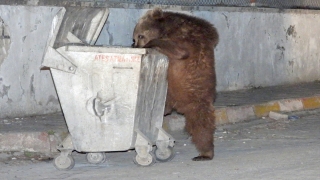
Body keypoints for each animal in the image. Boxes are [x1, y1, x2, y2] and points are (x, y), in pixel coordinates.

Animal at [131, 7, 219, 161]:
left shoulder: (184, 38)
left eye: (140, 35)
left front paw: (151, 43)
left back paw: (205, 153)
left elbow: (180, 51)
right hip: (169, 92)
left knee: (201, 127)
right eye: (135, 37)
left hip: (196, 100)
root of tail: (180, 106)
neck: (167, 27)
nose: (135, 44)